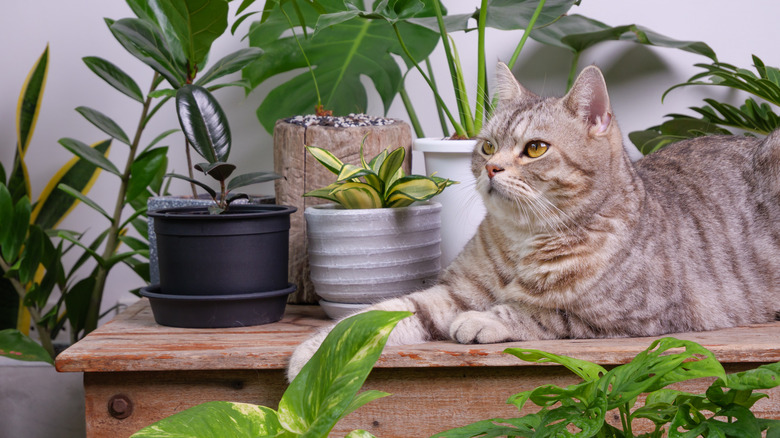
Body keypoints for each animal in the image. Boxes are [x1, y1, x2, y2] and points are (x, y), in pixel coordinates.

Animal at [286, 63, 780, 382]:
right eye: (487, 146)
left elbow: (540, 312)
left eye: (536, 149)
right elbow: (379, 315)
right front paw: (316, 355)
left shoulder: (636, 315)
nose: (491, 168)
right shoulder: (454, 292)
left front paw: (483, 321)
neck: (523, 239)